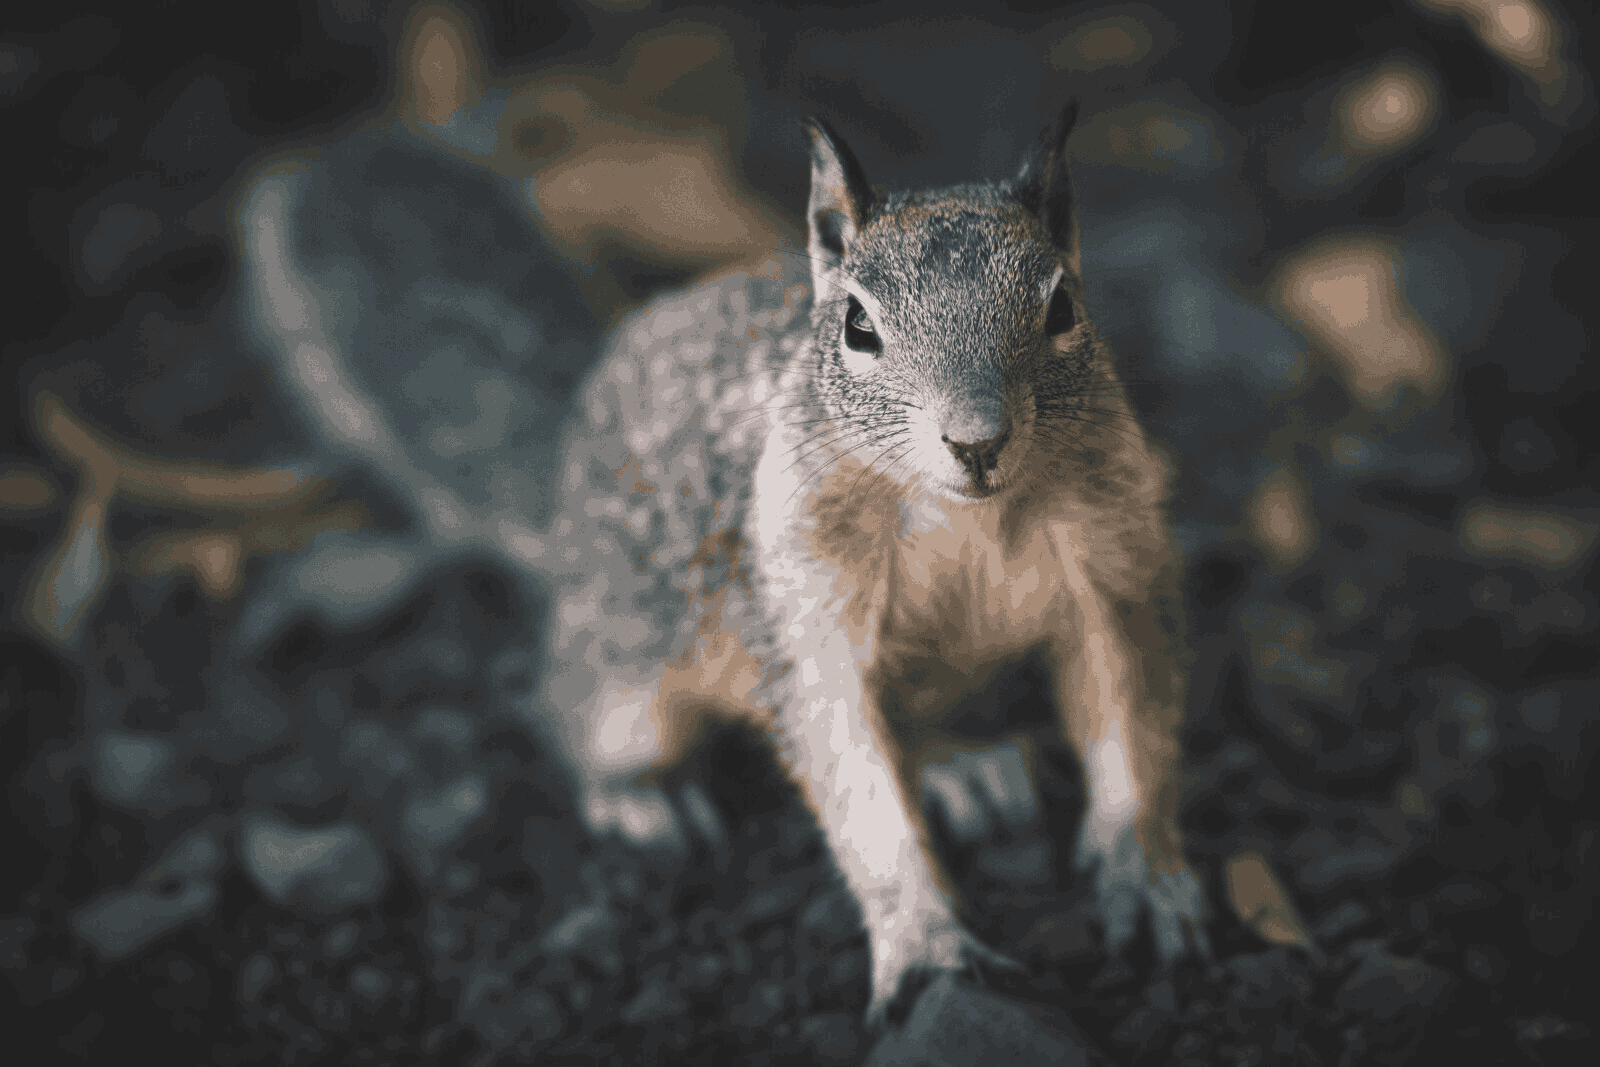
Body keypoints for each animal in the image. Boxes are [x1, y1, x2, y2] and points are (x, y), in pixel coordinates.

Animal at [537, 101, 1301, 1027]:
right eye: (858, 326)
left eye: (1063, 306)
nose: (977, 440)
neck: (961, 518)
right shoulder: (806, 613)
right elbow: (857, 782)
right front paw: (929, 949)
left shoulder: (1112, 570)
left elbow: (1128, 720)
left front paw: (1147, 878)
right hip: (623, 673)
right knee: (576, 713)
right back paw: (643, 797)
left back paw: (964, 768)